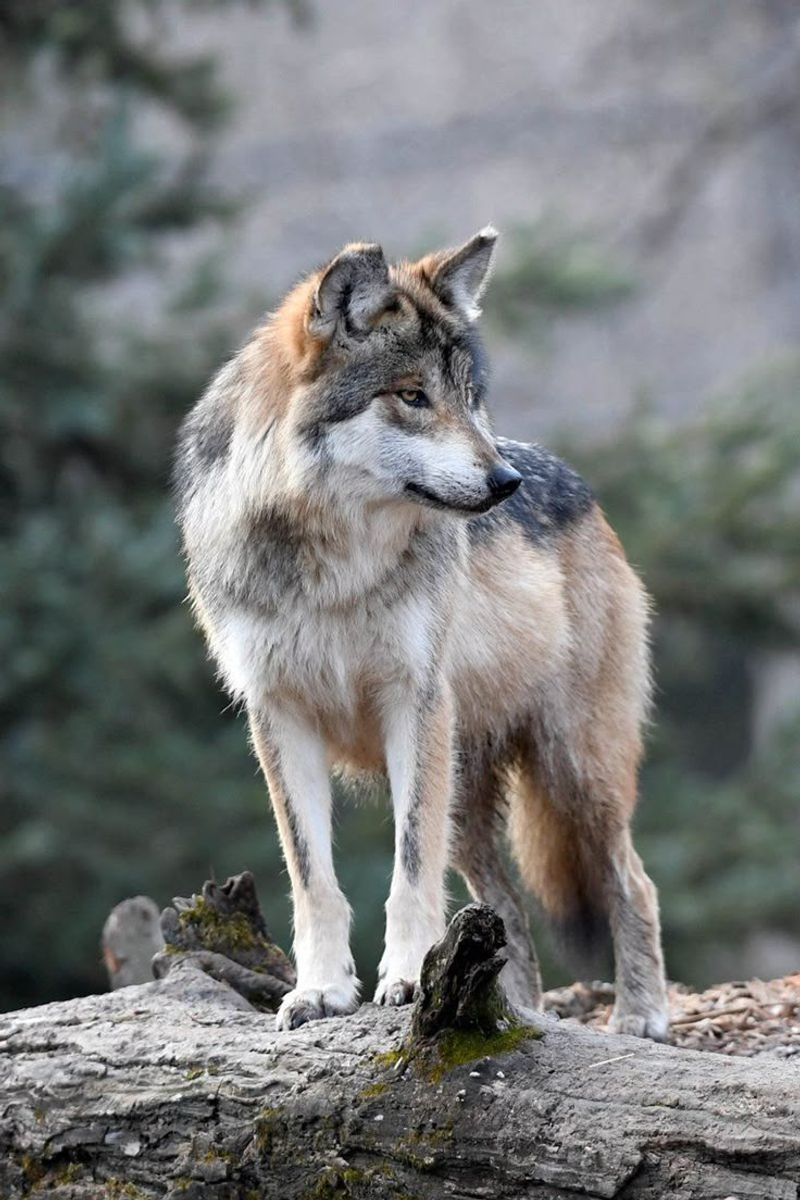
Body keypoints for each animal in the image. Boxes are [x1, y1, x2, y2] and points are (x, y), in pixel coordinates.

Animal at [175, 229, 671, 1036]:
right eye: (412, 396)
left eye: (470, 398)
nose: (505, 483)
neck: (333, 563)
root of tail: (578, 485)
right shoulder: (278, 715)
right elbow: (312, 878)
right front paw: (320, 991)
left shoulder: (415, 702)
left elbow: (409, 870)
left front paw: (406, 980)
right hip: (469, 795)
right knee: (504, 912)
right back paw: (506, 1011)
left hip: (571, 769)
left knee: (631, 880)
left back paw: (641, 1014)